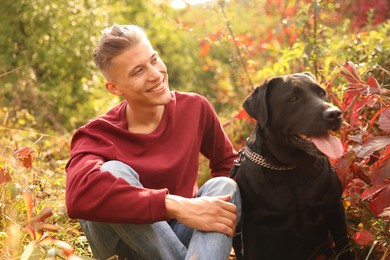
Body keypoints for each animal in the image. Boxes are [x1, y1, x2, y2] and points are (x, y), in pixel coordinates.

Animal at [233, 73, 352, 260]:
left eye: (322, 92)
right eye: (294, 98)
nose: (335, 114)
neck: (290, 169)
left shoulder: (334, 208)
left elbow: (344, 248)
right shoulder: (252, 227)